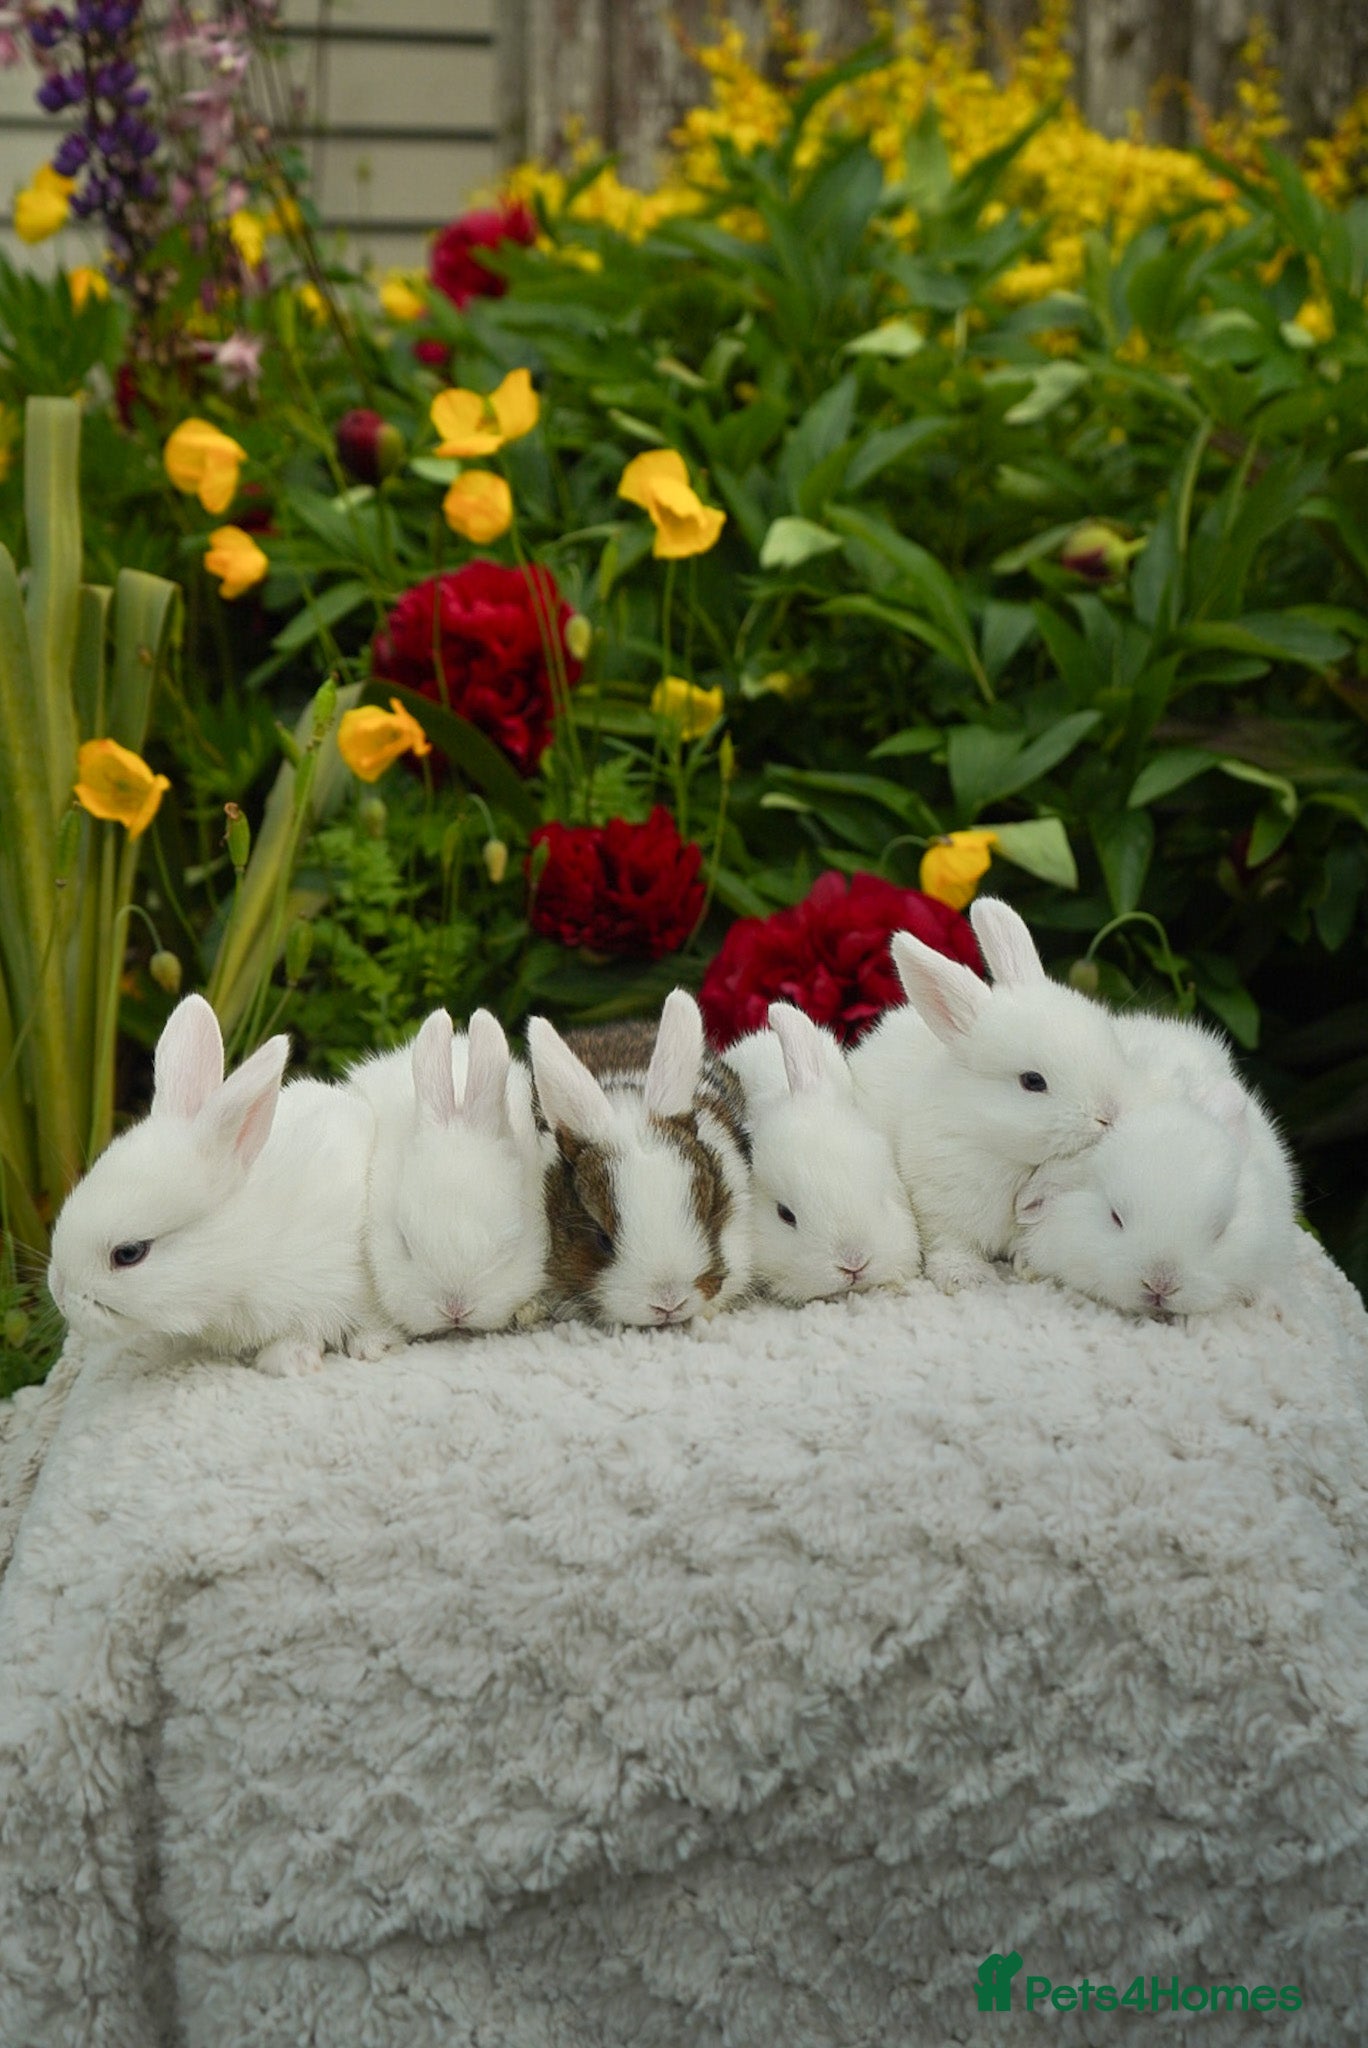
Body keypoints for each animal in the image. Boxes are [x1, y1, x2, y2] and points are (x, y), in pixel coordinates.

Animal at [848, 897, 1133, 1292]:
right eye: (1033, 1081)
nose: (1110, 1112)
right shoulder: (941, 1207)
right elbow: (949, 1242)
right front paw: (965, 1278)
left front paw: (1030, 1267)